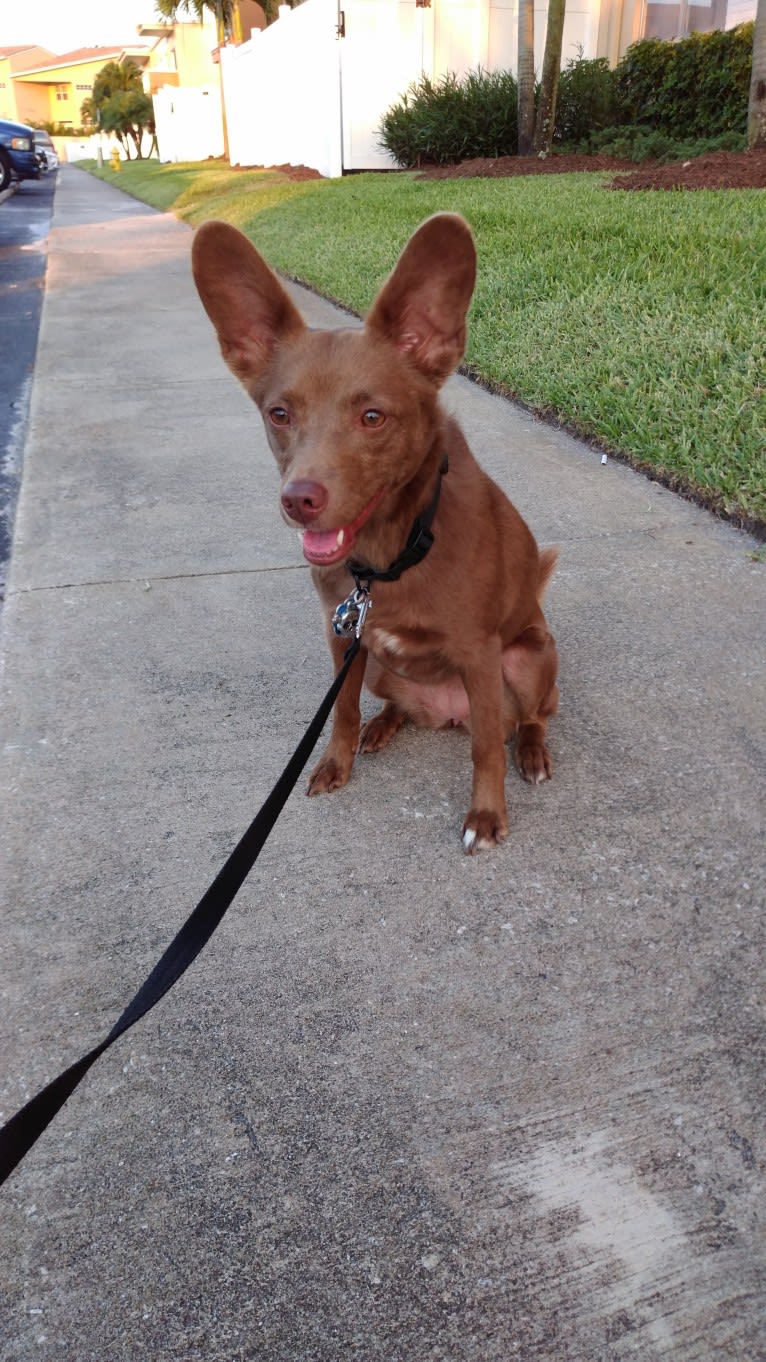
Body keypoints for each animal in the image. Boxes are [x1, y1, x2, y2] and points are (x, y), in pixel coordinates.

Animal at [190, 212, 553, 849]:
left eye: (373, 417)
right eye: (279, 414)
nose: (299, 501)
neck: (392, 558)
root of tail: (448, 711)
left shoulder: (480, 652)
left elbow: (487, 747)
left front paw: (486, 815)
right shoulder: (343, 637)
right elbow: (342, 710)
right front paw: (337, 761)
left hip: (528, 657)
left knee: (527, 718)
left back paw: (531, 751)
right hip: (384, 665)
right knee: (395, 706)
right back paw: (385, 725)